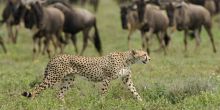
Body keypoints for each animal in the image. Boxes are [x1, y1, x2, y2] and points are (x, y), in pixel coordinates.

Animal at [21, 49, 150, 102]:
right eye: (144, 54)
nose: (149, 59)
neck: (128, 60)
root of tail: (56, 56)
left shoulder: (126, 79)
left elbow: (134, 91)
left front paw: (142, 102)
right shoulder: (107, 78)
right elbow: (103, 93)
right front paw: (101, 103)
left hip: (68, 80)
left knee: (59, 94)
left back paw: (64, 106)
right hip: (53, 77)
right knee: (37, 89)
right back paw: (33, 103)